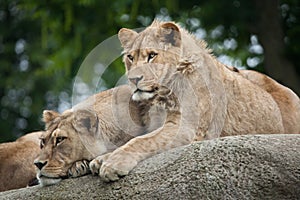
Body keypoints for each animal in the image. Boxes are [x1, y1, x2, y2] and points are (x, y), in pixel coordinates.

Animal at [86, 19, 300, 181]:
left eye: (152, 56)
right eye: (131, 57)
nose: (133, 79)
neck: (159, 97)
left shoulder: (185, 127)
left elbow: (141, 141)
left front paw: (112, 163)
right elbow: (138, 139)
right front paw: (102, 159)